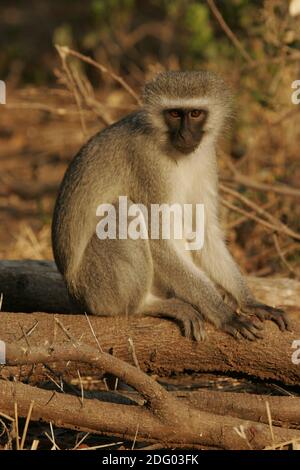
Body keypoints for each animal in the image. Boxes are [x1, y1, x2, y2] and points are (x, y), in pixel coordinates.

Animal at [51, 70, 288, 342]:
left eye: (195, 113)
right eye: (174, 114)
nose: (185, 135)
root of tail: (74, 292)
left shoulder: (206, 157)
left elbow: (204, 231)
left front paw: (249, 302)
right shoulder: (147, 160)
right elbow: (158, 236)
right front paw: (224, 314)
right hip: (96, 287)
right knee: (124, 212)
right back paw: (150, 304)